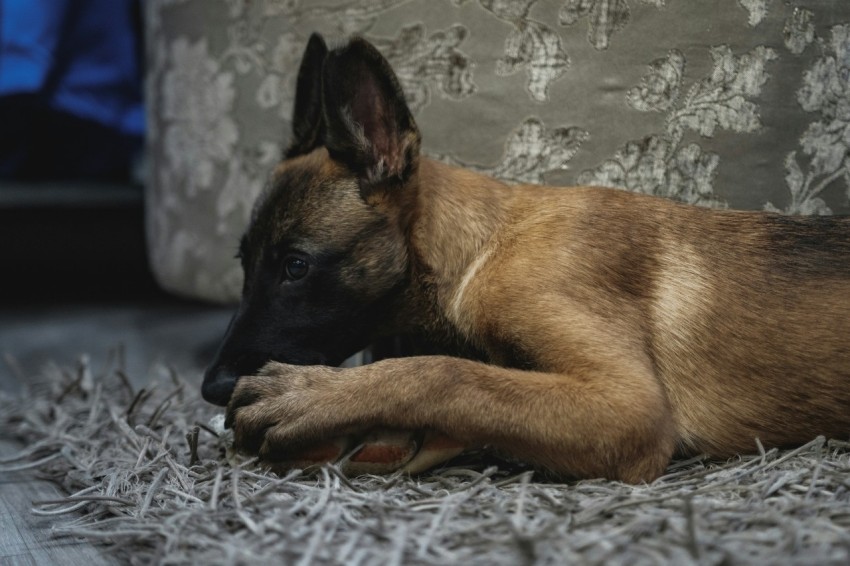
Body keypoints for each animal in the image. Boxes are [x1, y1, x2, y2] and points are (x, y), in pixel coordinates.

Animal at [202, 32, 848, 484]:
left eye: (295, 266)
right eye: (244, 265)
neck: (480, 248)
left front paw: (313, 396)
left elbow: (445, 373)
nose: (210, 387)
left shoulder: (628, 406)